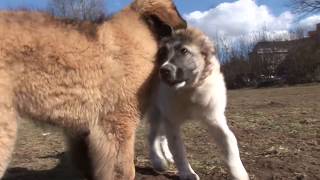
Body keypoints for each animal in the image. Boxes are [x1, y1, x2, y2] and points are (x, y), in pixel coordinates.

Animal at [146, 28, 249, 180]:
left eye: (184, 51)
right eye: (163, 54)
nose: (163, 71)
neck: (190, 90)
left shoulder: (214, 118)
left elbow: (229, 142)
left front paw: (239, 173)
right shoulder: (172, 120)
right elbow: (178, 150)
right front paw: (187, 173)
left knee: (161, 136)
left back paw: (167, 156)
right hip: (156, 111)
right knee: (152, 136)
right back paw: (158, 160)